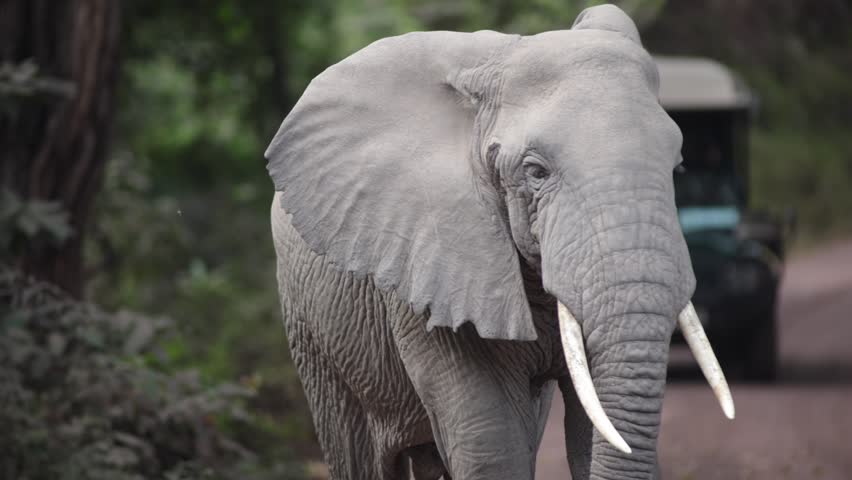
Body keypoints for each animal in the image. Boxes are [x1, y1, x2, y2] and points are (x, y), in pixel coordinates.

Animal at [266, 5, 734, 480]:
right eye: (535, 171)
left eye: (676, 165)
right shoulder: (428, 266)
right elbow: (490, 440)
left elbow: (586, 424)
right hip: (311, 327)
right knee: (358, 452)